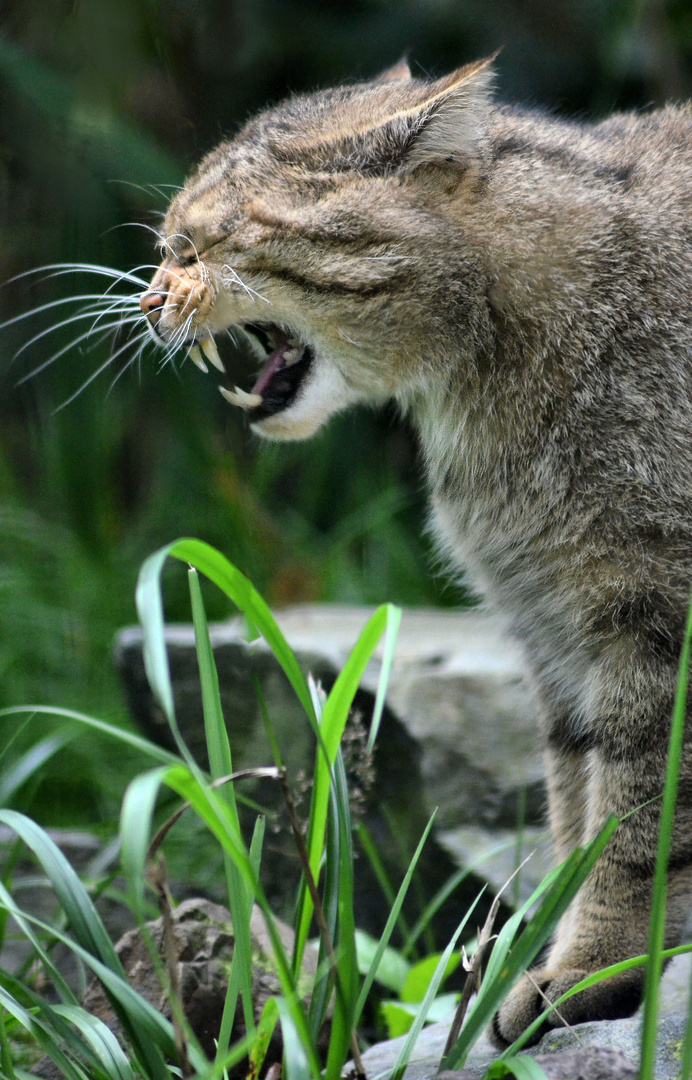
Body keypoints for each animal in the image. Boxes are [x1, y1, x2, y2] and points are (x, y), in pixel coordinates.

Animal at [139, 61, 690, 1045]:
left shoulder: (652, 611)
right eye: (170, 248)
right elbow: (575, 802)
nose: (146, 297)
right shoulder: (552, 629)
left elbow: (639, 821)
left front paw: (597, 968)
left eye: (195, 247)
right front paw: (546, 949)